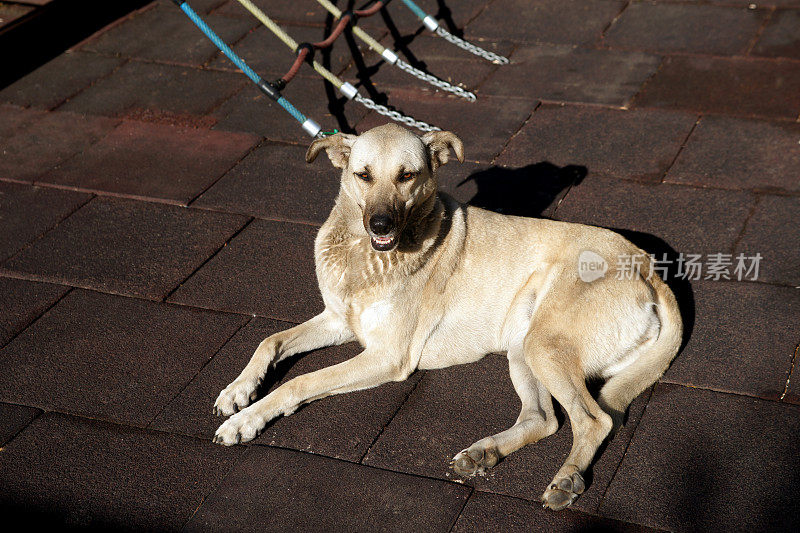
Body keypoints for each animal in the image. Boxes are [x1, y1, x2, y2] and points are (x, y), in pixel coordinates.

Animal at [212, 122, 680, 510]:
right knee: (543, 419)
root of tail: (647, 267)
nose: (380, 224)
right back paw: (483, 452)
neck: (364, 254)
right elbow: (269, 341)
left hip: (544, 345)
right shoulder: (338, 320)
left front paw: (247, 421)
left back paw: (566, 479)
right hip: (523, 346)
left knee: (594, 420)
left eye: (408, 175)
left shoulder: (387, 356)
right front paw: (238, 391)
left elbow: (301, 382)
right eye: (363, 175)